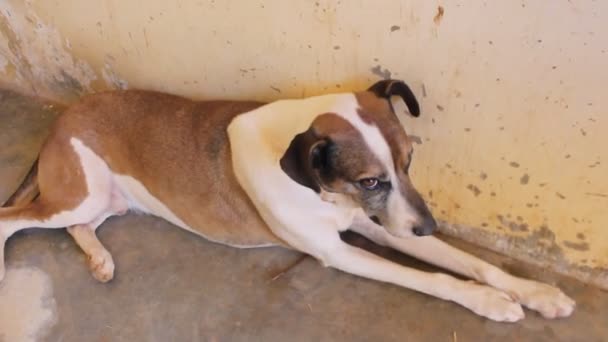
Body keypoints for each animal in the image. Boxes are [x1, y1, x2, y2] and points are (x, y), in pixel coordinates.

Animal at [0, 80, 576, 324]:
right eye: (370, 180)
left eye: (410, 160)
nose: (428, 227)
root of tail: (64, 118)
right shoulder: (340, 249)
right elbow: (433, 277)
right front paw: (490, 302)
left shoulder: (379, 222)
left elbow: (470, 262)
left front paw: (535, 291)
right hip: (78, 194)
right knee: (15, 218)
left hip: (102, 201)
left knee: (78, 226)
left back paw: (99, 257)